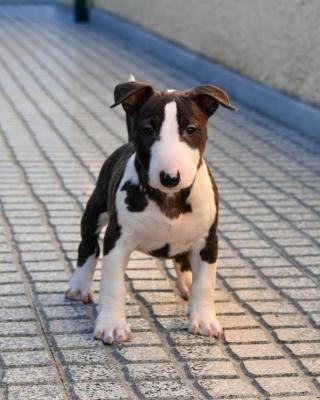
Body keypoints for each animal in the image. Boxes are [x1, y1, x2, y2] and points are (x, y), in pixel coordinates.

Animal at [65, 79, 235, 344]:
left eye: (191, 129)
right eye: (147, 130)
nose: (170, 177)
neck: (169, 198)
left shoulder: (208, 241)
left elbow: (205, 284)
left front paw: (204, 321)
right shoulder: (117, 240)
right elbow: (113, 285)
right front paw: (112, 326)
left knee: (182, 259)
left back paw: (187, 283)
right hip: (96, 209)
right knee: (88, 245)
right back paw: (80, 285)